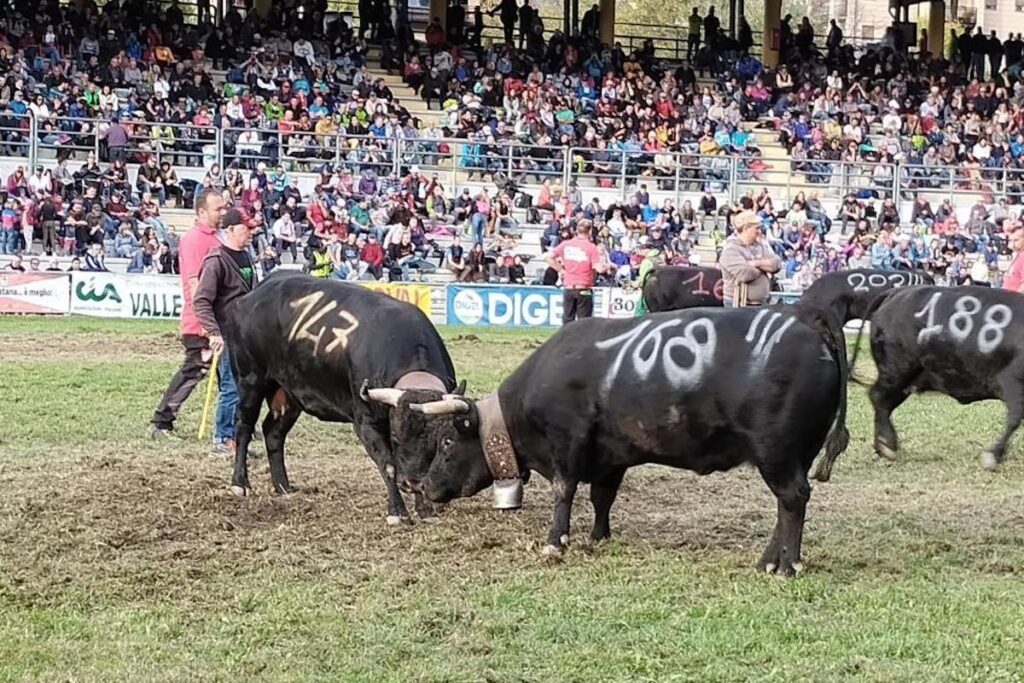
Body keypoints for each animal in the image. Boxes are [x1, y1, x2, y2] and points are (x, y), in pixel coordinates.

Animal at [228, 272, 464, 524]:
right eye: (395, 436)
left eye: (436, 440)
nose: (411, 483)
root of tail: (260, 289)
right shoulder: (366, 422)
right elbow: (389, 465)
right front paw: (397, 512)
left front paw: (425, 510)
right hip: (250, 379)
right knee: (244, 427)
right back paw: (240, 483)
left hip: (288, 393)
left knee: (273, 432)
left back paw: (283, 486)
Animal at [407, 307, 847, 573]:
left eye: (447, 443)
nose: (424, 485)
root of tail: (810, 327)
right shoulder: (611, 456)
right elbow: (602, 497)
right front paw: (599, 536)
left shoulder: (568, 442)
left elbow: (564, 492)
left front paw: (556, 542)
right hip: (795, 456)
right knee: (785, 505)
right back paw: (768, 560)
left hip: (777, 454)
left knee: (792, 499)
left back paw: (787, 565)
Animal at [860, 286, 1024, 473]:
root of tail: (897, 292)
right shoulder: (1012, 381)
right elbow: (1014, 419)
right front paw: (992, 456)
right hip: (897, 370)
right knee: (878, 396)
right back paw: (887, 445)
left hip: (908, 379)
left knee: (884, 402)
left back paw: (883, 445)